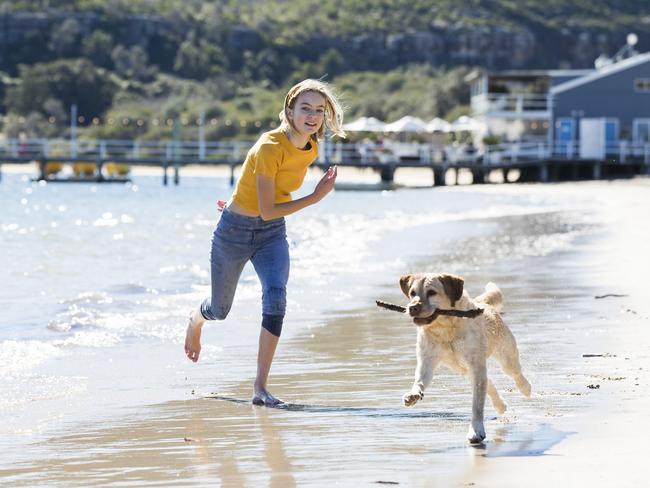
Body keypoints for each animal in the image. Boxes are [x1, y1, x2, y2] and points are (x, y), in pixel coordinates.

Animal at [398, 272, 528, 444]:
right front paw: (413, 395)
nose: (412, 308)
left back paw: (526, 389)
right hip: (461, 368)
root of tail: (483, 304)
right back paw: (500, 405)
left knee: (515, 372)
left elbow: (477, 405)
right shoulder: (427, 360)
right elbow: (419, 380)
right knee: (489, 383)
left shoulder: (476, 364)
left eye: (431, 292)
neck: (446, 328)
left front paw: (476, 431)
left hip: (505, 356)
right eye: (412, 293)